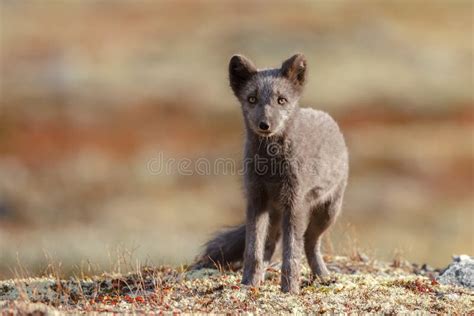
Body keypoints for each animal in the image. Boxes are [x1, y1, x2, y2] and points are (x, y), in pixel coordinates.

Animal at [193, 53, 348, 294]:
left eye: (281, 100)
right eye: (252, 99)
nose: (264, 124)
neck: (271, 166)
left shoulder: (295, 204)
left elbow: (291, 255)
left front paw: (290, 290)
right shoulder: (256, 200)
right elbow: (252, 251)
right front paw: (248, 284)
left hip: (328, 211)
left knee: (309, 243)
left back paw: (322, 276)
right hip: (276, 213)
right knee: (270, 245)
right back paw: (261, 279)